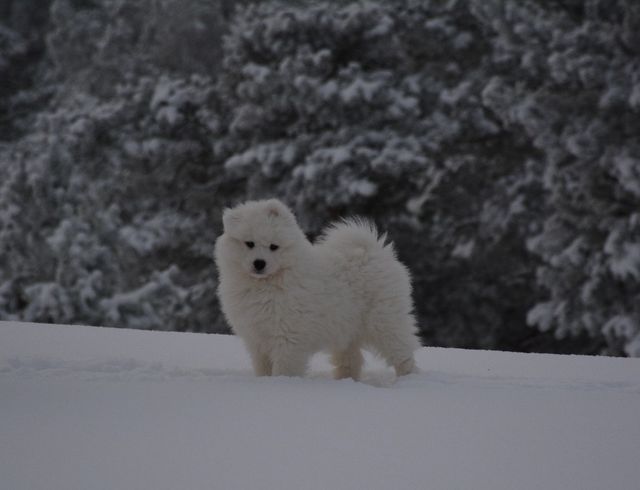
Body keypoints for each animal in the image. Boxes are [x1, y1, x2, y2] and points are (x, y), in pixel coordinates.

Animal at [215, 199, 420, 378]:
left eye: (274, 246)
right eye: (249, 243)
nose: (259, 263)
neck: (266, 283)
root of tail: (374, 251)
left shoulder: (287, 336)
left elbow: (284, 367)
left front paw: (281, 382)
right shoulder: (257, 338)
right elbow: (262, 366)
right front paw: (264, 381)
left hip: (385, 321)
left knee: (402, 353)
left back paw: (408, 379)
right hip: (346, 329)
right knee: (351, 359)